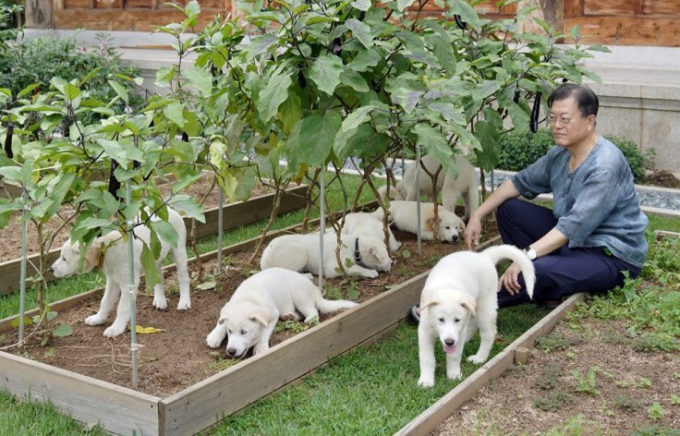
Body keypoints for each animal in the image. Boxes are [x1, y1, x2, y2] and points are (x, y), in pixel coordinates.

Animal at [49, 207, 191, 338]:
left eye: (64, 258)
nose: (51, 269)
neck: (106, 249)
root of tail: (168, 209)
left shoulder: (128, 283)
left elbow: (122, 308)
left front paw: (116, 328)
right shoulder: (112, 281)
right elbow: (105, 302)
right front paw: (98, 318)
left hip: (179, 251)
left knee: (183, 278)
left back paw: (184, 302)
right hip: (152, 259)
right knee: (158, 277)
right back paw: (160, 300)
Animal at [206, 268, 356, 356]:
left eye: (244, 332)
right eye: (230, 331)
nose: (230, 351)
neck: (248, 299)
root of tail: (315, 291)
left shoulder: (272, 314)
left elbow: (264, 332)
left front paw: (260, 347)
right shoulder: (228, 307)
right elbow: (222, 321)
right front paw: (215, 335)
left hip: (300, 294)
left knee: (312, 311)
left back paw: (309, 319)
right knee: (299, 314)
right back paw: (289, 316)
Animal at [260, 232, 390, 280]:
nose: (392, 263)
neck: (355, 245)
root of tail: (264, 261)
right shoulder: (335, 268)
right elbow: (356, 268)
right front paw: (370, 272)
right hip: (300, 253)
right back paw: (307, 275)